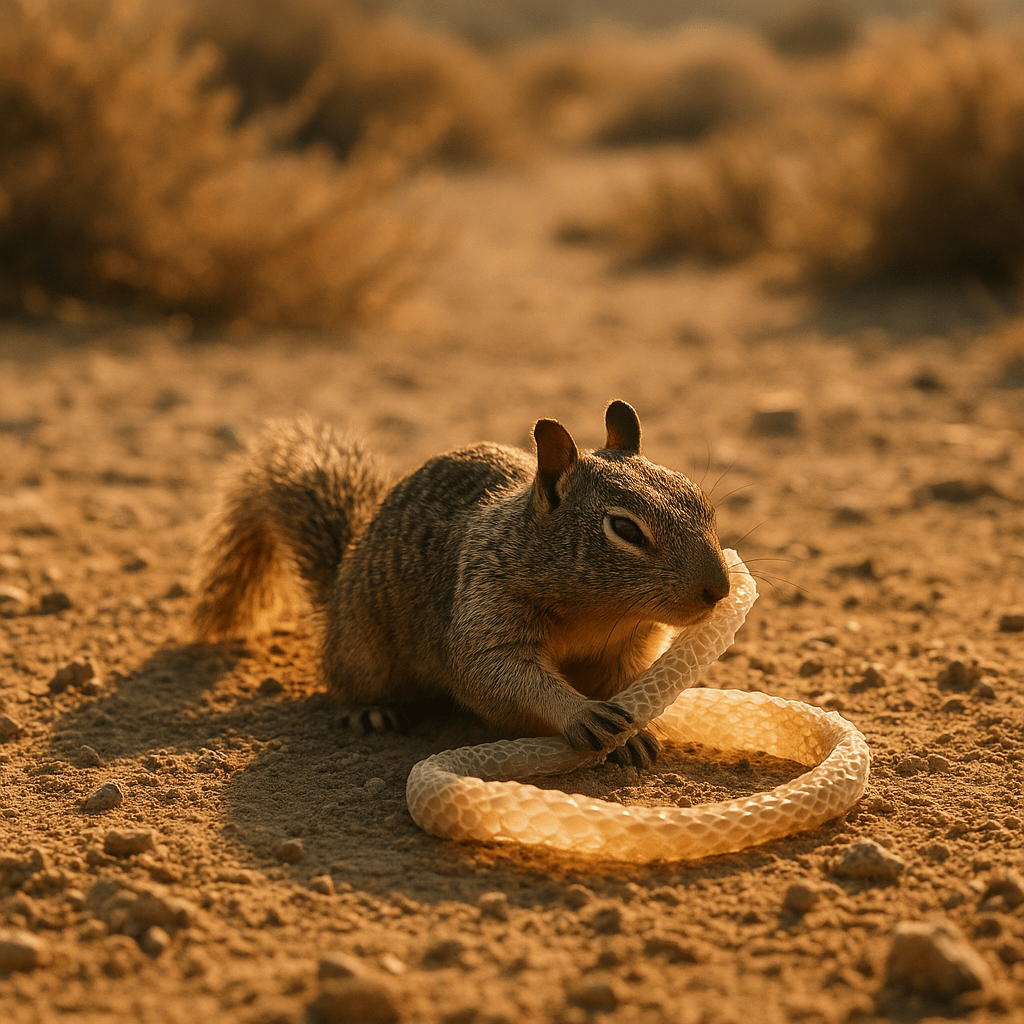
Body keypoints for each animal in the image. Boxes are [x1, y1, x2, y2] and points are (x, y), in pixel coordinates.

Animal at [190, 401, 731, 768]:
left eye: (701, 499)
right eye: (624, 529)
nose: (720, 590)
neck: (600, 613)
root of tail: (342, 574)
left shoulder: (628, 648)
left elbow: (629, 682)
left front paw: (635, 733)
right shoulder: (484, 609)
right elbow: (496, 676)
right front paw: (581, 714)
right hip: (364, 651)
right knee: (345, 683)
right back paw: (371, 711)